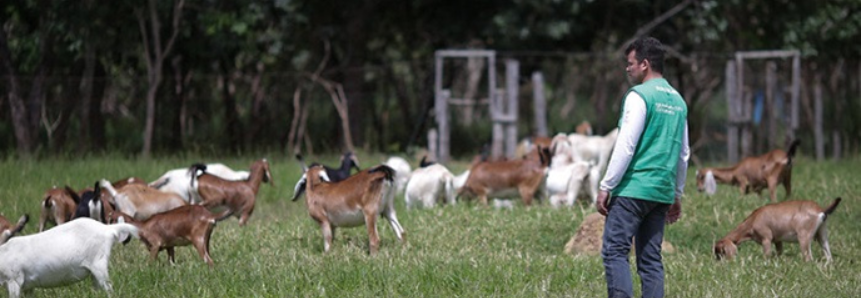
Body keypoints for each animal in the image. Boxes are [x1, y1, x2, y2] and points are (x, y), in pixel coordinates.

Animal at [712, 198, 840, 264]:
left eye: (721, 252)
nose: (718, 264)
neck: (754, 219)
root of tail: (820, 210)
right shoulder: (778, 241)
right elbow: (779, 253)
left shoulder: (766, 239)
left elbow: (767, 256)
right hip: (822, 236)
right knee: (829, 256)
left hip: (804, 237)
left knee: (808, 258)